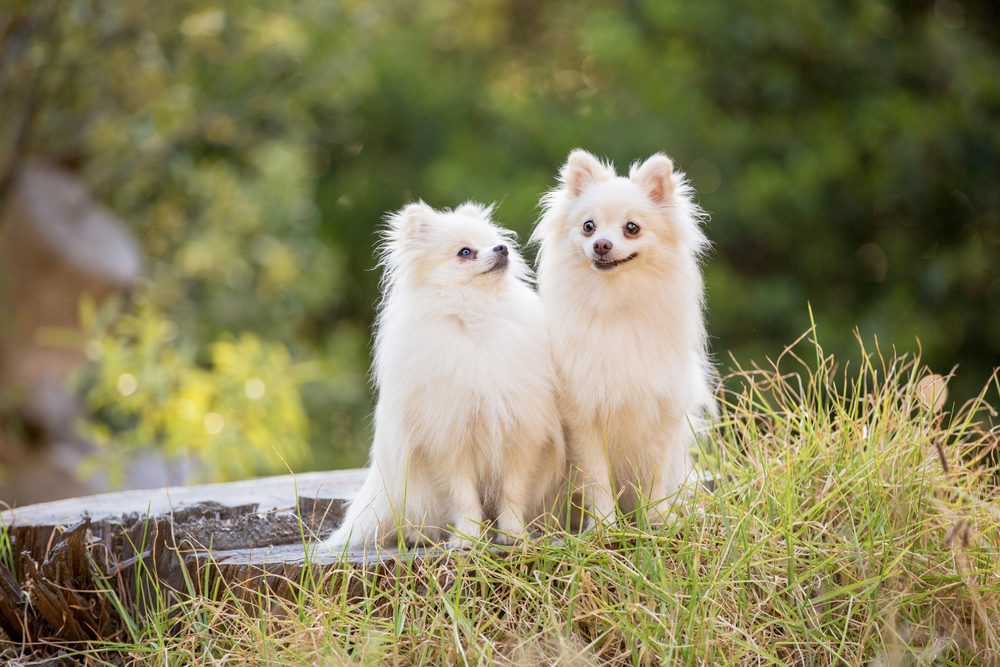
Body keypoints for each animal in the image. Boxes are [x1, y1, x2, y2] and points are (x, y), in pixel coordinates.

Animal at [326, 201, 568, 552]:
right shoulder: (450, 439)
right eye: (465, 252)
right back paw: (417, 535)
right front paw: (467, 537)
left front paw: (513, 535)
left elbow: (512, 493)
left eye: (494, 242)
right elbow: (463, 495)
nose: (502, 248)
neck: (476, 317)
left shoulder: (519, 435)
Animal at [528, 150, 716, 528]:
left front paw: (656, 520)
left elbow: (654, 475)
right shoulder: (584, 414)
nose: (602, 244)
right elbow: (598, 477)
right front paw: (604, 525)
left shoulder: (662, 411)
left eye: (632, 228)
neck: (616, 302)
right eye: (588, 226)